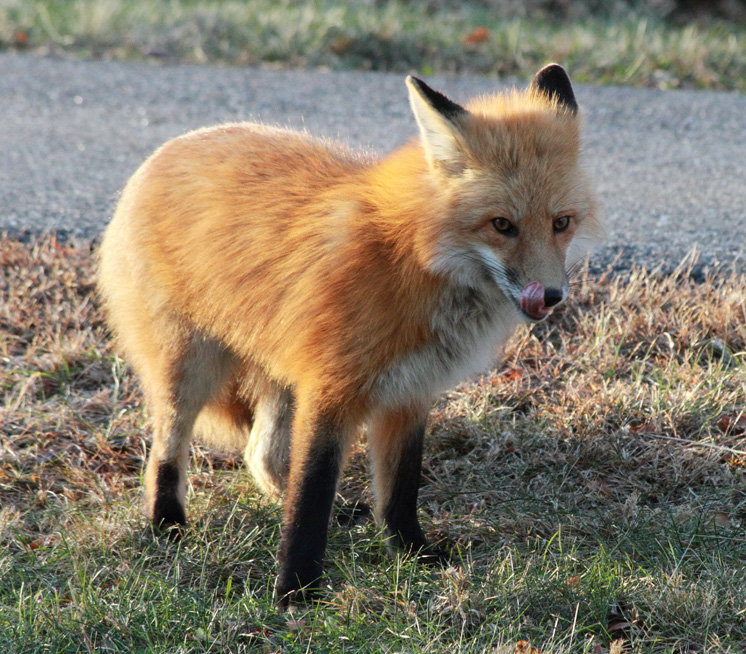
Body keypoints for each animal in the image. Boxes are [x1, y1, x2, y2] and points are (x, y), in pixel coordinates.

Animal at [97, 64, 600, 608]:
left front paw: (413, 555)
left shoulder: (411, 392)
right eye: (502, 225)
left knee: (260, 454)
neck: (411, 261)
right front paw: (295, 589)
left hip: (281, 374)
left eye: (561, 223)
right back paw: (166, 523)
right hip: (190, 369)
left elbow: (399, 492)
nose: (550, 296)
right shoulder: (331, 388)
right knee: (166, 451)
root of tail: (164, 151)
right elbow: (311, 494)